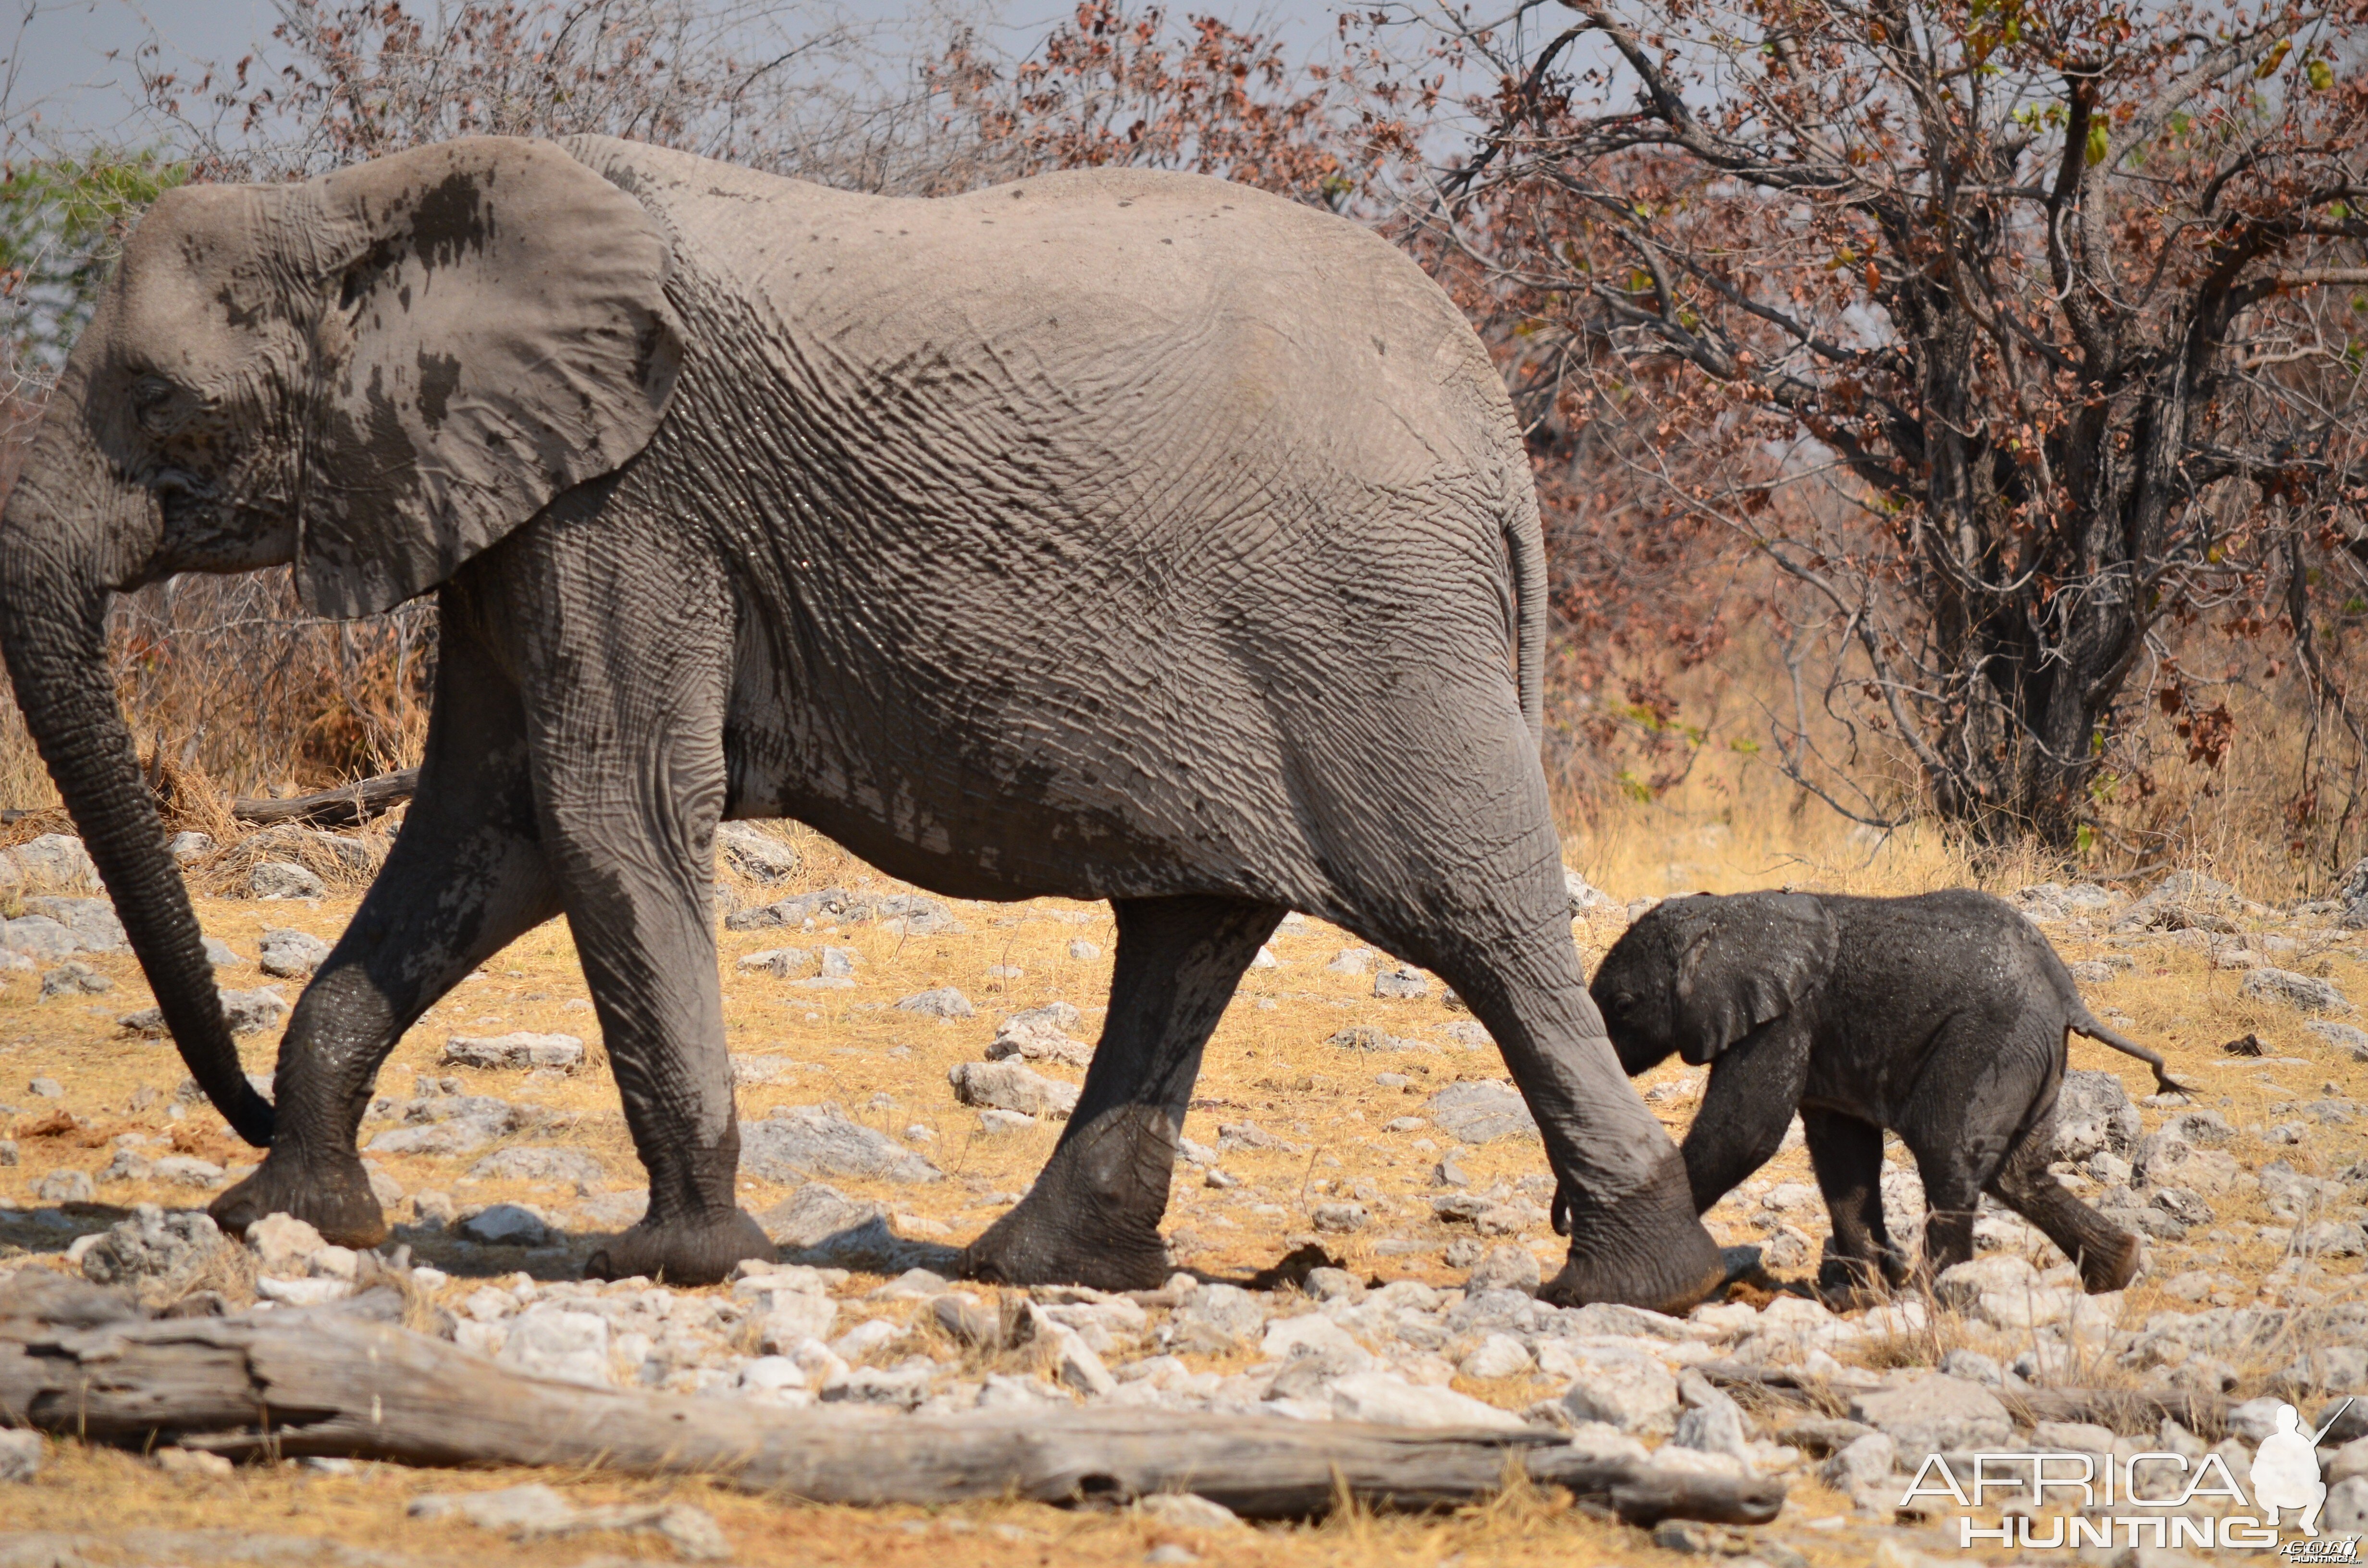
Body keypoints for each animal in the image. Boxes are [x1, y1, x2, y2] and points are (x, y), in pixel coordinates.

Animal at [0, 138, 1724, 1317]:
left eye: (167, 412)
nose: (222, 1093)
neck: (371, 202)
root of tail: (1498, 436)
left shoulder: (631, 499)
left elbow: (604, 805)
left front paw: (672, 1259)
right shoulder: (520, 505)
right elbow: (480, 824)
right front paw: (289, 1217)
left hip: (1371, 627)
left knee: (1473, 921)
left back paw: (1646, 1282)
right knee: (1193, 926)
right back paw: (1035, 1266)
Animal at [1591, 895, 2178, 1298]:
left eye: (1623, 1005)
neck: (1728, 914)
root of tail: (2066, 992)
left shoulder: (1784, 1019)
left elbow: (1745, 1134)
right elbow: (1842, 1155)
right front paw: (1860, 1293)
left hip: (1990, 1039)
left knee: (1949, 1153)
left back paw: (1935, 1293)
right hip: (2035, 1054)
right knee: (2016, 1173)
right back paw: (2117, 1269)